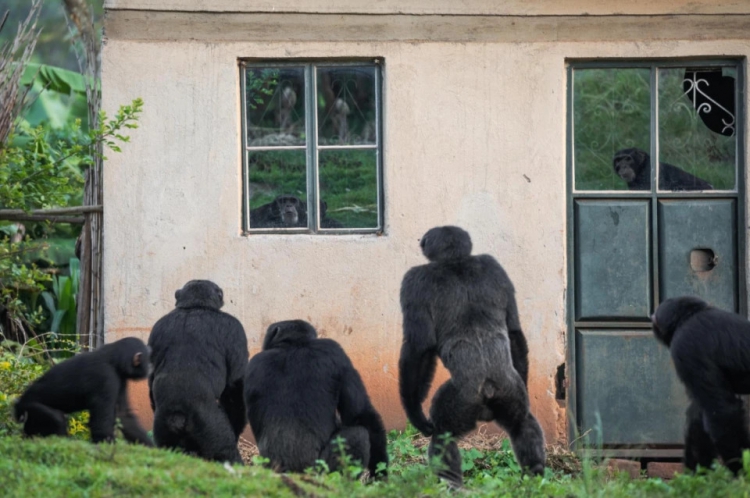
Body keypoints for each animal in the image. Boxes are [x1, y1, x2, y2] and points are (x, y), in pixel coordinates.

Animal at [13, 336, 153, 446]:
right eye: (148, 359)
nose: (150, 367)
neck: (113, 360)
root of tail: (17, 405)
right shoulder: (106, 378)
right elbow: (101, 425)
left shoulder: (121, 380)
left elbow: (123, 415)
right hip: (30, 410)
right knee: (56, 419)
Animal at [148, 280, 248, 462]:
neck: (195, 306)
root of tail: (178, 416)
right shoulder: (235, 329)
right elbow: (235, 385)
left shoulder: (157, 328)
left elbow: (151, 377)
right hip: (211, 426)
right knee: (224, 451)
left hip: (162, 426)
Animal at [245, 320, 388, 476]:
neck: (294, 344)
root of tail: (296, 473)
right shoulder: (336, 352)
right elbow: (362, 414)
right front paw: (380, 471)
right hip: (320, 470)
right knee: (358, 435)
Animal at [400, 227, 548, 486]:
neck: (455, 260)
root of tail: (488, 388)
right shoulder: (494, 265)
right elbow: (514, 330)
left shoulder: (414, 282)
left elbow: (418, 349)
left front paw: (414, 411)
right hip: (509, 391)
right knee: (522, 423)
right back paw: (535, 474)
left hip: (462, 400)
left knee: (443, 438)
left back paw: (452, 484)